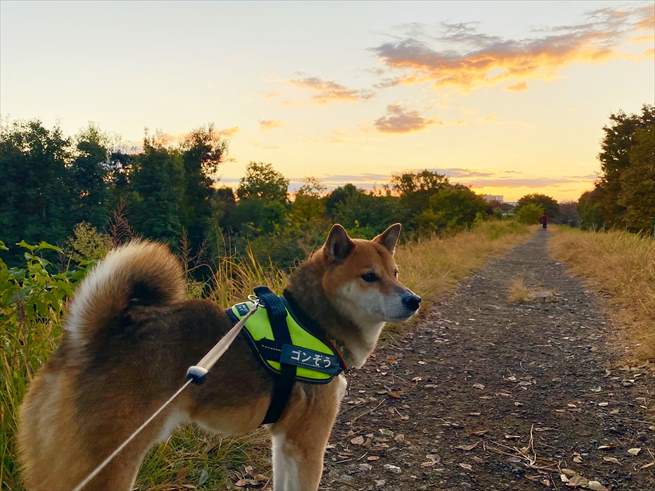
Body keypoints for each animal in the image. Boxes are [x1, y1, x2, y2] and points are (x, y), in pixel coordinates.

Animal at [20, 224, 422, 491]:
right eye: (369, 277)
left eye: (395, 273)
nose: (413, 299)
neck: (312, 320)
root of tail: (85, 340)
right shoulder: (309, 442)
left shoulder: (285, 442)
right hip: (110, 465)